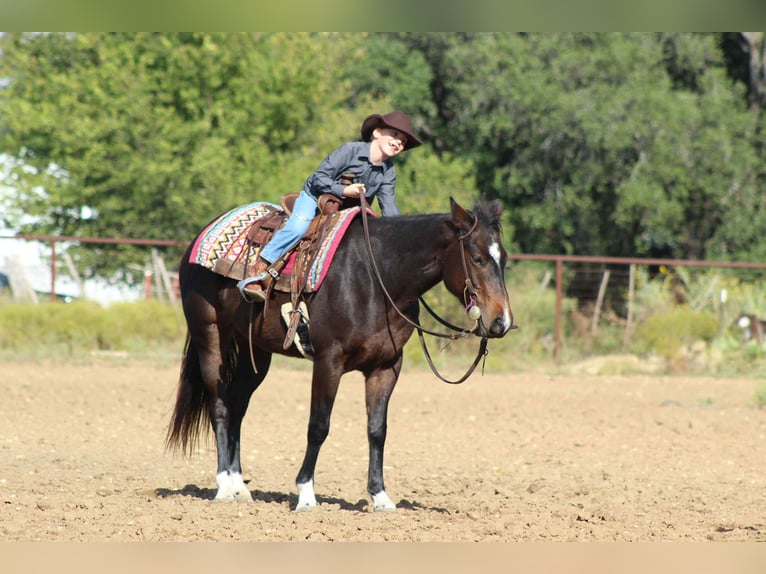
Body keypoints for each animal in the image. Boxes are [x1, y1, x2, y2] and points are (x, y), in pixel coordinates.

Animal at [166, 197, 515, 511]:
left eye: (505, 259)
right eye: (477, 257)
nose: (501, 321)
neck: (378, 277)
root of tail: (200, 236)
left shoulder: (387, 367)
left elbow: (377, 430)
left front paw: (380, 497)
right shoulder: (328, 362)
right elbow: (318, 426)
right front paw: (306, 495)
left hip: (257, 354)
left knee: (238, 406)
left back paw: (239, 486)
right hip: (210, 335)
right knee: (220, 405)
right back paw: (224, 486)